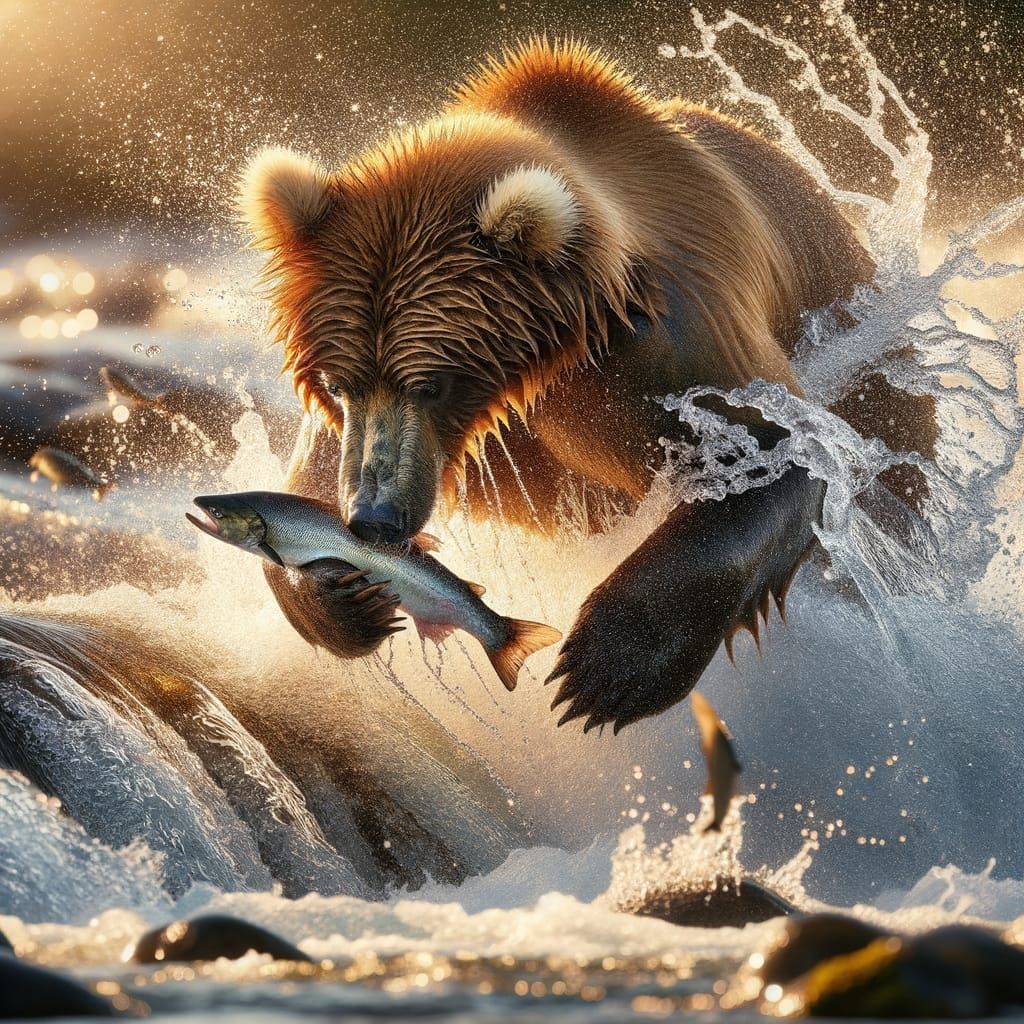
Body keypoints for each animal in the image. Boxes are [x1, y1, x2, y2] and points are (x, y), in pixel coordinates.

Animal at [238, 40, 936, 733]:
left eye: (433, 384)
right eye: (338, 382)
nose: (373, 519)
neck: (546, 361)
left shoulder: (666, 355)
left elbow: (778, 454)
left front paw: (607, 667)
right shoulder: (479, 440)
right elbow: (311, 475)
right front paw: (342, 592)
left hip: (873, 368)